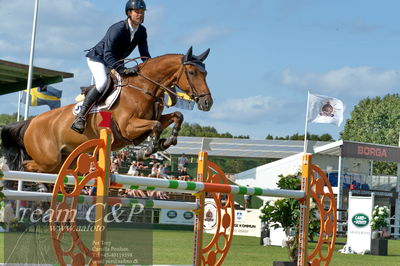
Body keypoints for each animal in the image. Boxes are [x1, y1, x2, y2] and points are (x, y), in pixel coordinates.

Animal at [0, 46, 212, 174]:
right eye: (192, 72)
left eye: (206, 73)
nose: (207, 102)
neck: (144, 88)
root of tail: (31, 122)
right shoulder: (128, 127)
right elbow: (157, 125)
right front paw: (148, 150)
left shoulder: (149, 120)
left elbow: (177, 116)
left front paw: (168, 141)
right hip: (48, 159)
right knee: (25, 165)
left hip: (63, 160)